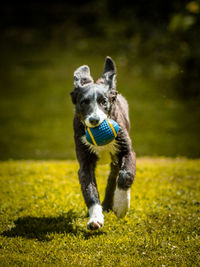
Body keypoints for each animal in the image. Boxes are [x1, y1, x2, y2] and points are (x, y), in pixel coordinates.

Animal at [70, 56, 136, 230]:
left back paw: (112, 203)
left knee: (114, 177)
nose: (94, 120)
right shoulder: (85, 164)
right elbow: (91, 192)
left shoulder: (127, 151)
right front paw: (95, 219)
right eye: (84, 103)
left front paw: (121, 206)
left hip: (116, 161)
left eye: (103, 102)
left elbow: (126, 174)